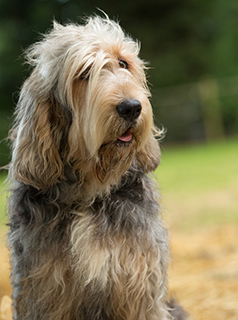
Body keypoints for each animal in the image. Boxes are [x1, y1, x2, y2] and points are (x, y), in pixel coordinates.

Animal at [7, 13, 190, 318]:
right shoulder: (44, 291)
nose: (131, 107)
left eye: (123, 63)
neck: (91, 193)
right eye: (83, 73)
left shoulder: (138, 285)